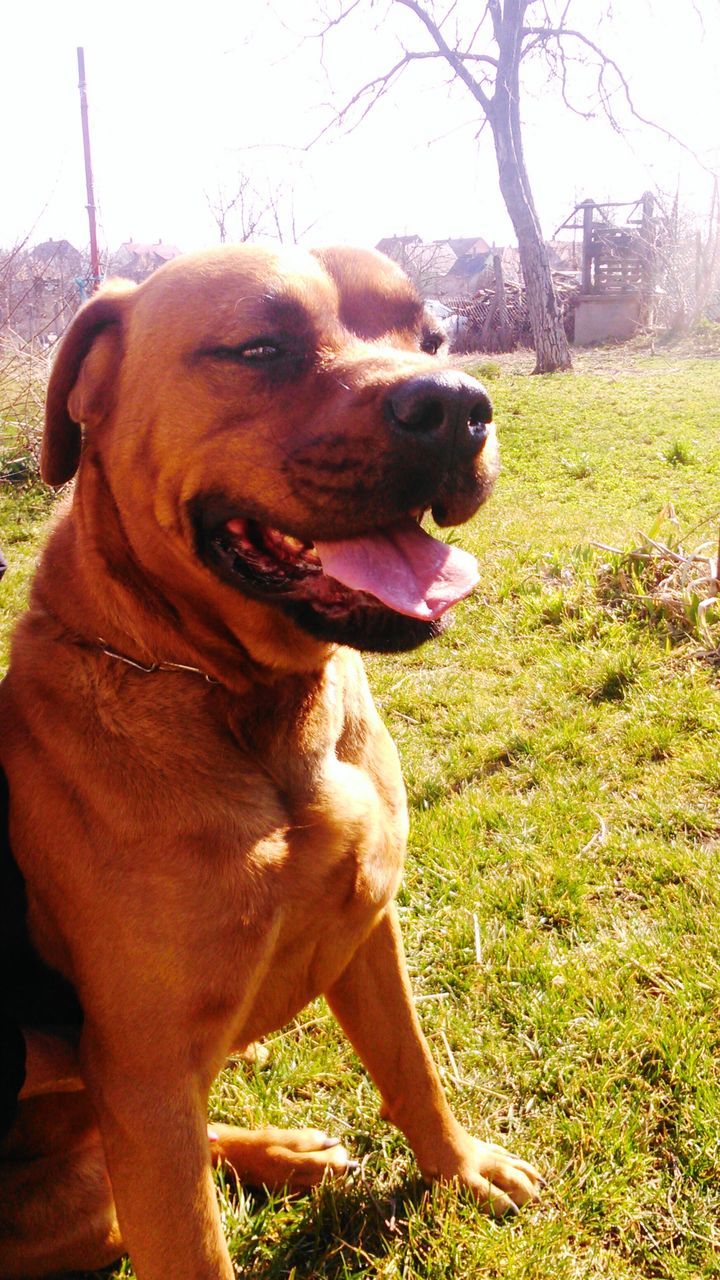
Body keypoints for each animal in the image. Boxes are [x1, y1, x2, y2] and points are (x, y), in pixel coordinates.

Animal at [0, 244, 538, 1274]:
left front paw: (460, 1169)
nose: (457, 404)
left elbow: (413, 1067)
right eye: (258, 347)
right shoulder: (148, 1076)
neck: (247, 700)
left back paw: (282, 1151)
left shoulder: (369, 930)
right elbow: (192, 1242)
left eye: (432, 337)